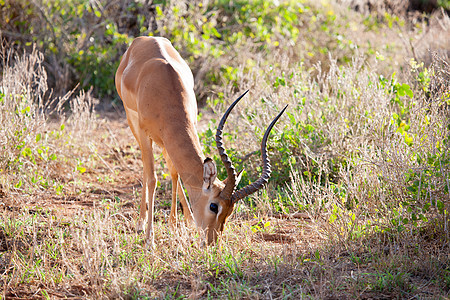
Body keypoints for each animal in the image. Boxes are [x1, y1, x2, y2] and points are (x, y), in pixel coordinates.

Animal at [114, 36, 286, 246]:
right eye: (214, 206)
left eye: (230, 209)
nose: (212, 241)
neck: (163, 87)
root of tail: (143, 39)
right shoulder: (144, 133)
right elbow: (152, 178)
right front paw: (149, 239)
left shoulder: (179, 131)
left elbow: (176, 172)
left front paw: (176, 225)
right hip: (133, 123)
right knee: (147, 171)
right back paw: (141, 223)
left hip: (164, 141)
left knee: (171, 168)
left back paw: (184, 220)